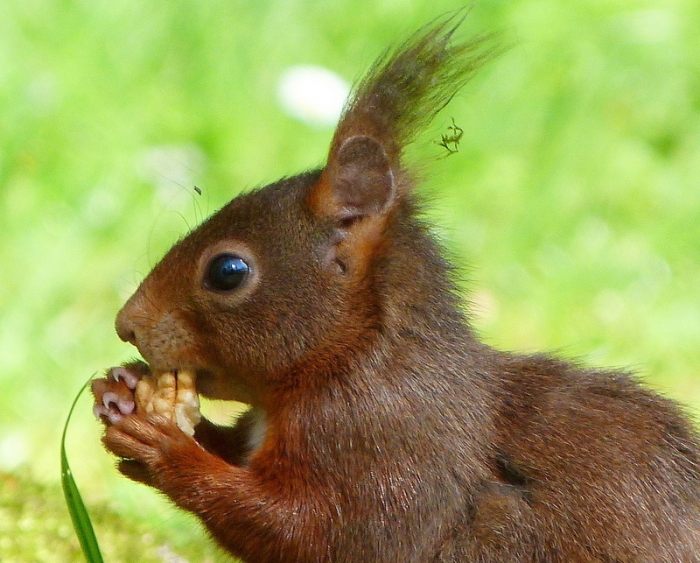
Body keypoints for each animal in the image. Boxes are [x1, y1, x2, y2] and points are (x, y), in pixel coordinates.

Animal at [91, 13, 700, 563]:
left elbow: (307, 531)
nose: (126, 325)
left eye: (227, 271)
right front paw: (123, 388)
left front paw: (164, 447)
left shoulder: (381, 450)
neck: (357, 355)